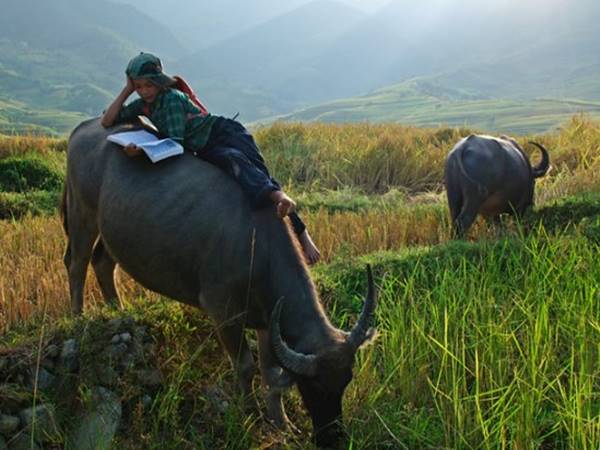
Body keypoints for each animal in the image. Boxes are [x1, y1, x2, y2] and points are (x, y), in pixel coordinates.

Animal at [63, 118, 378, 446]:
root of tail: (87, 126)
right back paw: (78, 316)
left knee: (103, 263)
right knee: (77, 263)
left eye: (347, 379)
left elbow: (269, 372)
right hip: (81, 213)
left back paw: (117, 310)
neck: (257, 245)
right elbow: (246, 366)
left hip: (112, 229)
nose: (333, 438)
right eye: (312, 385)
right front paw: (250, 413)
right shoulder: (223, 312)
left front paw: (281, 423)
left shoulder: (268, 320)